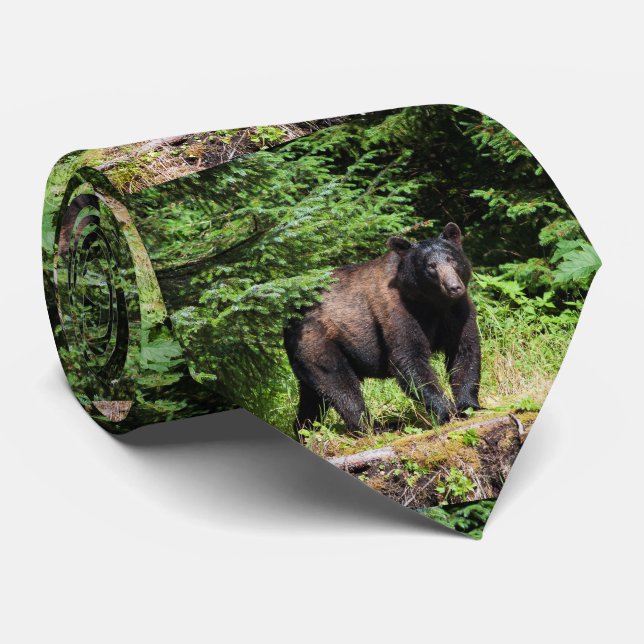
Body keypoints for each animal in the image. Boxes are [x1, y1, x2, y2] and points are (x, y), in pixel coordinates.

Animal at [284, 222, 481, 435]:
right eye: (430, 266)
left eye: (452, 259)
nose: (453, 287)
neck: (432, 303)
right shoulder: (397, 311)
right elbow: (409, 358)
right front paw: (444, 411)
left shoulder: (457, 311)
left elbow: (464, 351)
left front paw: (468, 405)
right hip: (318, 342)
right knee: (340, 384)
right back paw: (376, 427)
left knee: (312, 398)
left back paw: (304, 429)